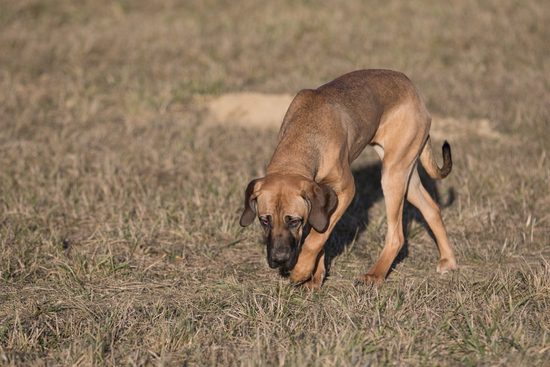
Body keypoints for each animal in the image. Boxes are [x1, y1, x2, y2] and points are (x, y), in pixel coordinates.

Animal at [239, 69, 460, 290]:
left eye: (294, 221)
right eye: (264, 221)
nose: (279, 260)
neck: (302, 140)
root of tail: (414, 91)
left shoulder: (344, 192)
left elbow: (315, 239)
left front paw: (301, 271)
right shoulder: (317, 204)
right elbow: (318, 235)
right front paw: (315, 276)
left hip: (392, 175)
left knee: (397, 235)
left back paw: (375, 274)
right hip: (406, 173)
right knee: (432, 208)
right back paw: (448, 260)